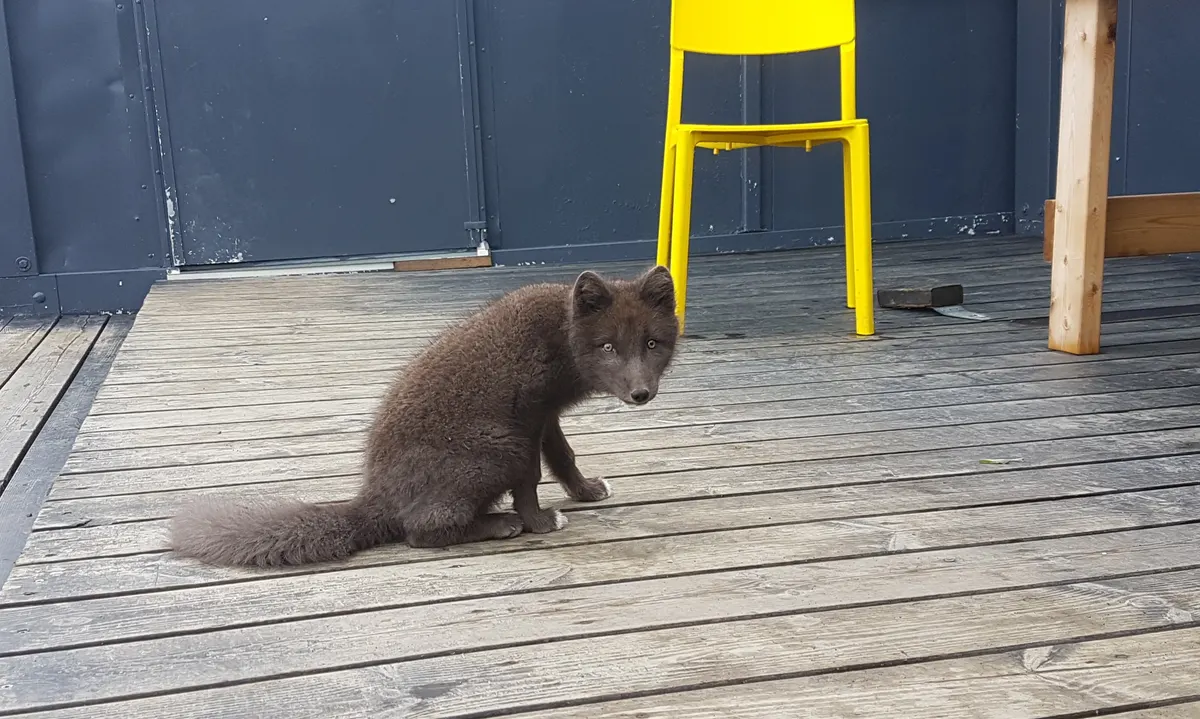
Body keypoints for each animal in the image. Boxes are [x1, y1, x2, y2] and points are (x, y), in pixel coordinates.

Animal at [168, 265, 680, 567]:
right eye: (608, 347)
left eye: (652, 343)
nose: (641, 394)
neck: (559, 333)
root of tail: (374, 498)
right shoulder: (527, 420)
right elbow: (531, 479)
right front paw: (539, 522)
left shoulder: (545, 416)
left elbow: (563, 456)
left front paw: (586, 491)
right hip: (500, 449)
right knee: (417, 532)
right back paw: (500, 525)